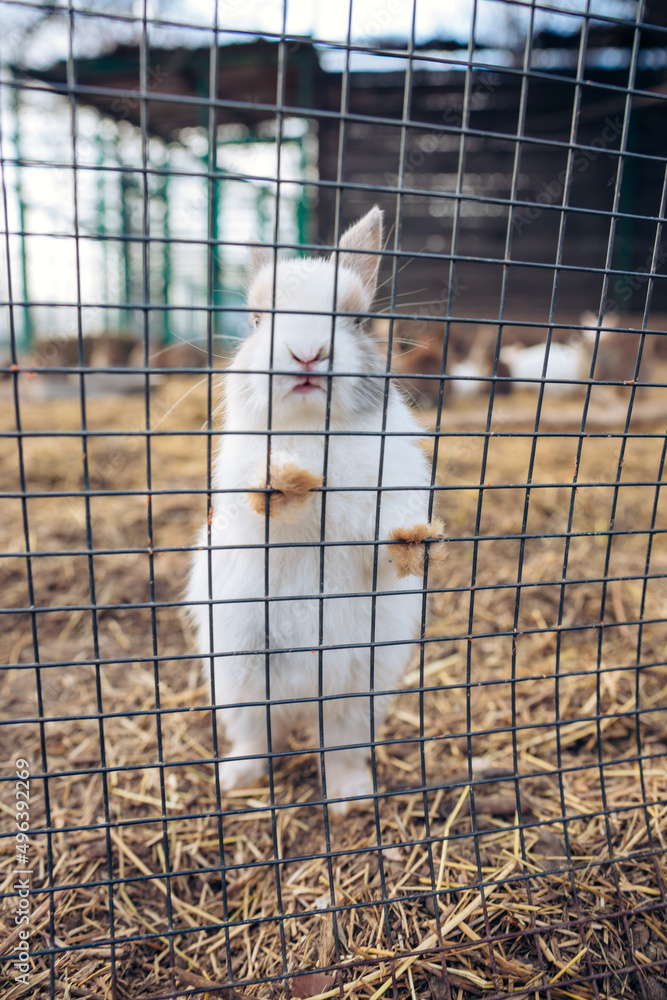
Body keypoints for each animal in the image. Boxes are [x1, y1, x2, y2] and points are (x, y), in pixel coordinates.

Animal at [186, 207, 445, 815]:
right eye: (257, 319)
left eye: (357, 320)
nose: (306, 353)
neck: (311, 430)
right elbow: (265, 505)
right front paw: (285, 480)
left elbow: (388, 542)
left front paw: (416, 538)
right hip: (239, 684)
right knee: (258, 738)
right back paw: (238, 781)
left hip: (357, 694)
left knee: (340, 749)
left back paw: (351, 799)